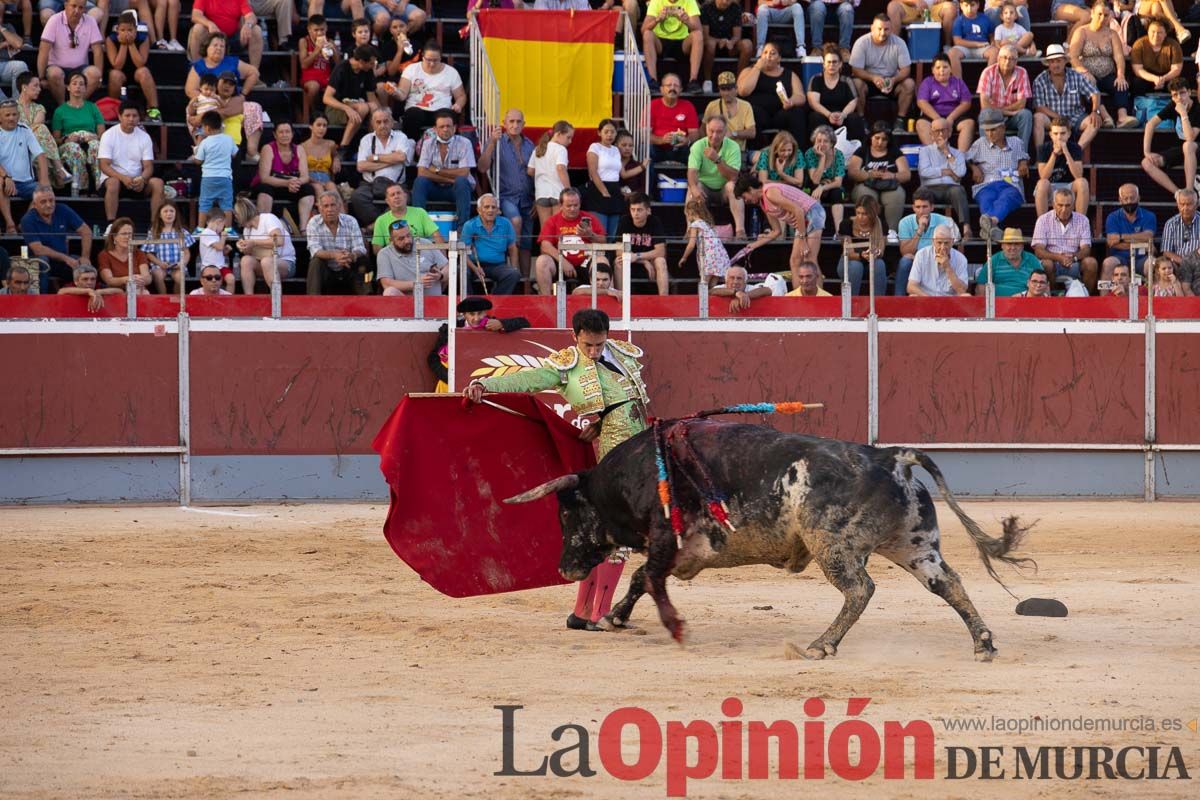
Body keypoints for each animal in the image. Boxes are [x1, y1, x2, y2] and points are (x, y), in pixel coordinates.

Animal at [504, 422, 1032, 662]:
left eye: (567, 513)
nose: (563, 567)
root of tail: (891, 457)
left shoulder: (664, 541)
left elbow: (646, 576)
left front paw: (656, 624)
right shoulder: (681, 551)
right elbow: (638, 578)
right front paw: (614, 616)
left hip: (833, 547)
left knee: (860, 589)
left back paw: (820, 645)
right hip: (915, 545)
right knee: (949, 584)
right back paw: (983, 643)